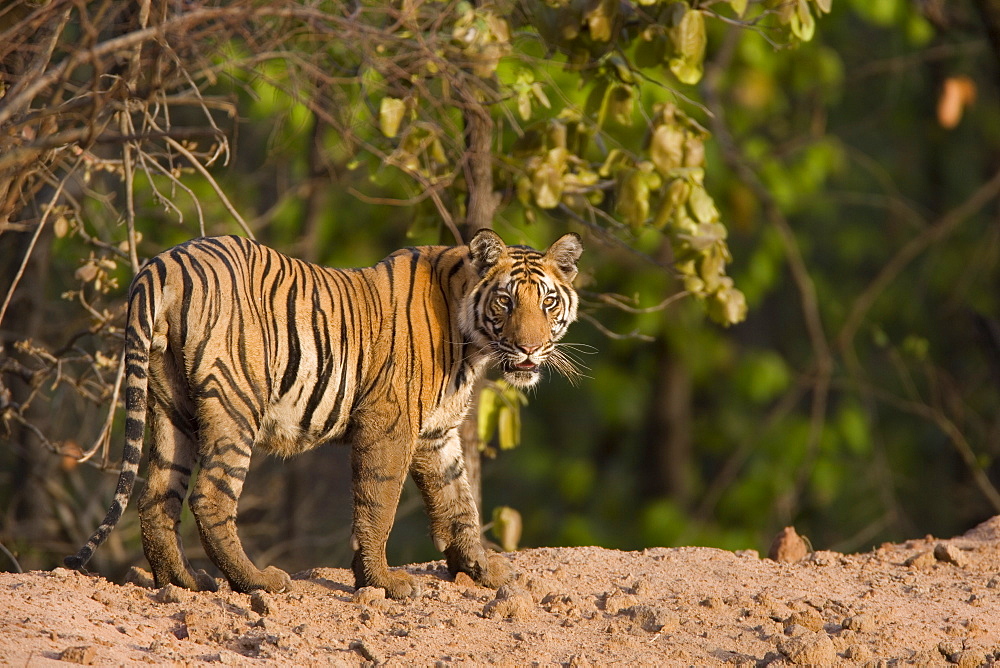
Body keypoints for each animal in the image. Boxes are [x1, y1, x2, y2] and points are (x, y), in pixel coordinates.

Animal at [66, 231, 584, 600]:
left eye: (548, 302)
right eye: (505, 301)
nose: (529, 348)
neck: (470, 342)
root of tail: (163, 262)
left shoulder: (436, 434)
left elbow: (459, 502)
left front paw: (482, 569)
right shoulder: (390, 424)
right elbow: (379, 504)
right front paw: (382, 583)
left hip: (171, 404)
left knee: (156, 495)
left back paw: (183, 582)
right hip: (234, 401)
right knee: (210, 497)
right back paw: (257, 582)